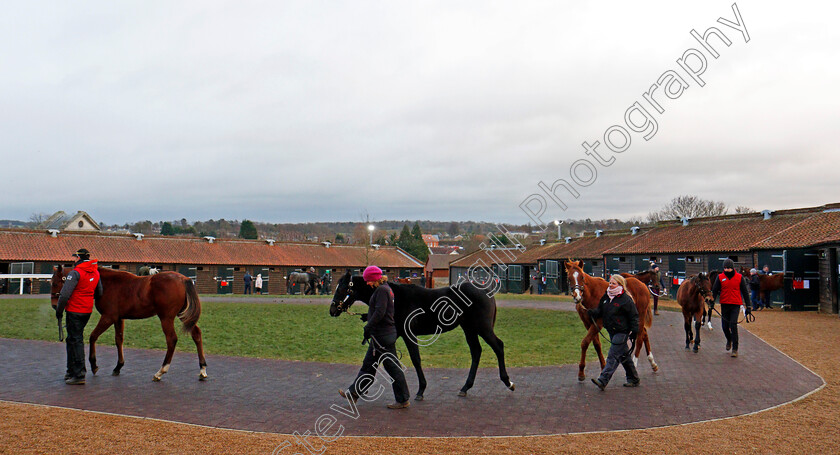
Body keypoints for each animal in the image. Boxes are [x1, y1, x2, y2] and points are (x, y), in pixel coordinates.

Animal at [50, 266, 207, 382]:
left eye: (56, 283)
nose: (54, 305)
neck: (106, 283)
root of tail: (184, 279)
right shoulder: (119, 318)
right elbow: (119, 339)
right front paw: (118, 366)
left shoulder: (108, 317)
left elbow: (93, 336)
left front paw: (94, 364)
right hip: (182, 315)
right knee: (196, 334)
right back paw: (202, 369)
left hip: (166, 317)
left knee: (171, 339)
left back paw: (161, 371)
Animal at [326, 272, 512, 400]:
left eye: (342, 288)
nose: (333, 310)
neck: (397, 298)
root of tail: (485, 290)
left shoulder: (409, 335)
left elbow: (416, 359)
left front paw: (421, 390)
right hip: (469, 329)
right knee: (476, 351)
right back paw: (465, 387)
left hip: (483, 328)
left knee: (498, 346)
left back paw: (508, 382)